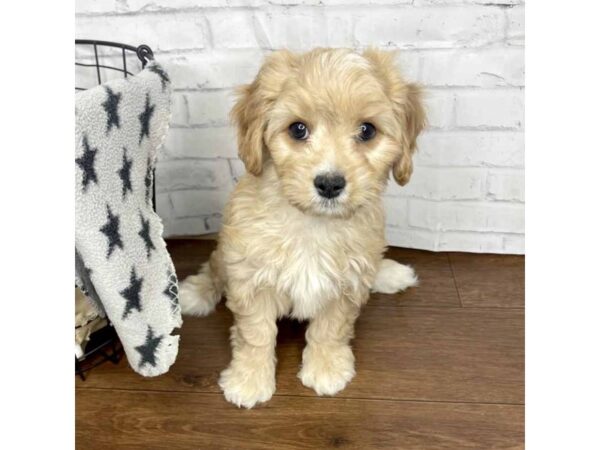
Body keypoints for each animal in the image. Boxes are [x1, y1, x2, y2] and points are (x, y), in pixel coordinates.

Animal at [179, 48, 426, 408]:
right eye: (298, 129)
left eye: (367, 131)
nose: (330, 184)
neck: (313, 224)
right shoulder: (250, 278)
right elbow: (256, 334)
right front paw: (249, 379)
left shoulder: (346, 284)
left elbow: (330, 329)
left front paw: (326, 367)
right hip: (227, 252)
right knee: (214, 268)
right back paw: (194, 293)